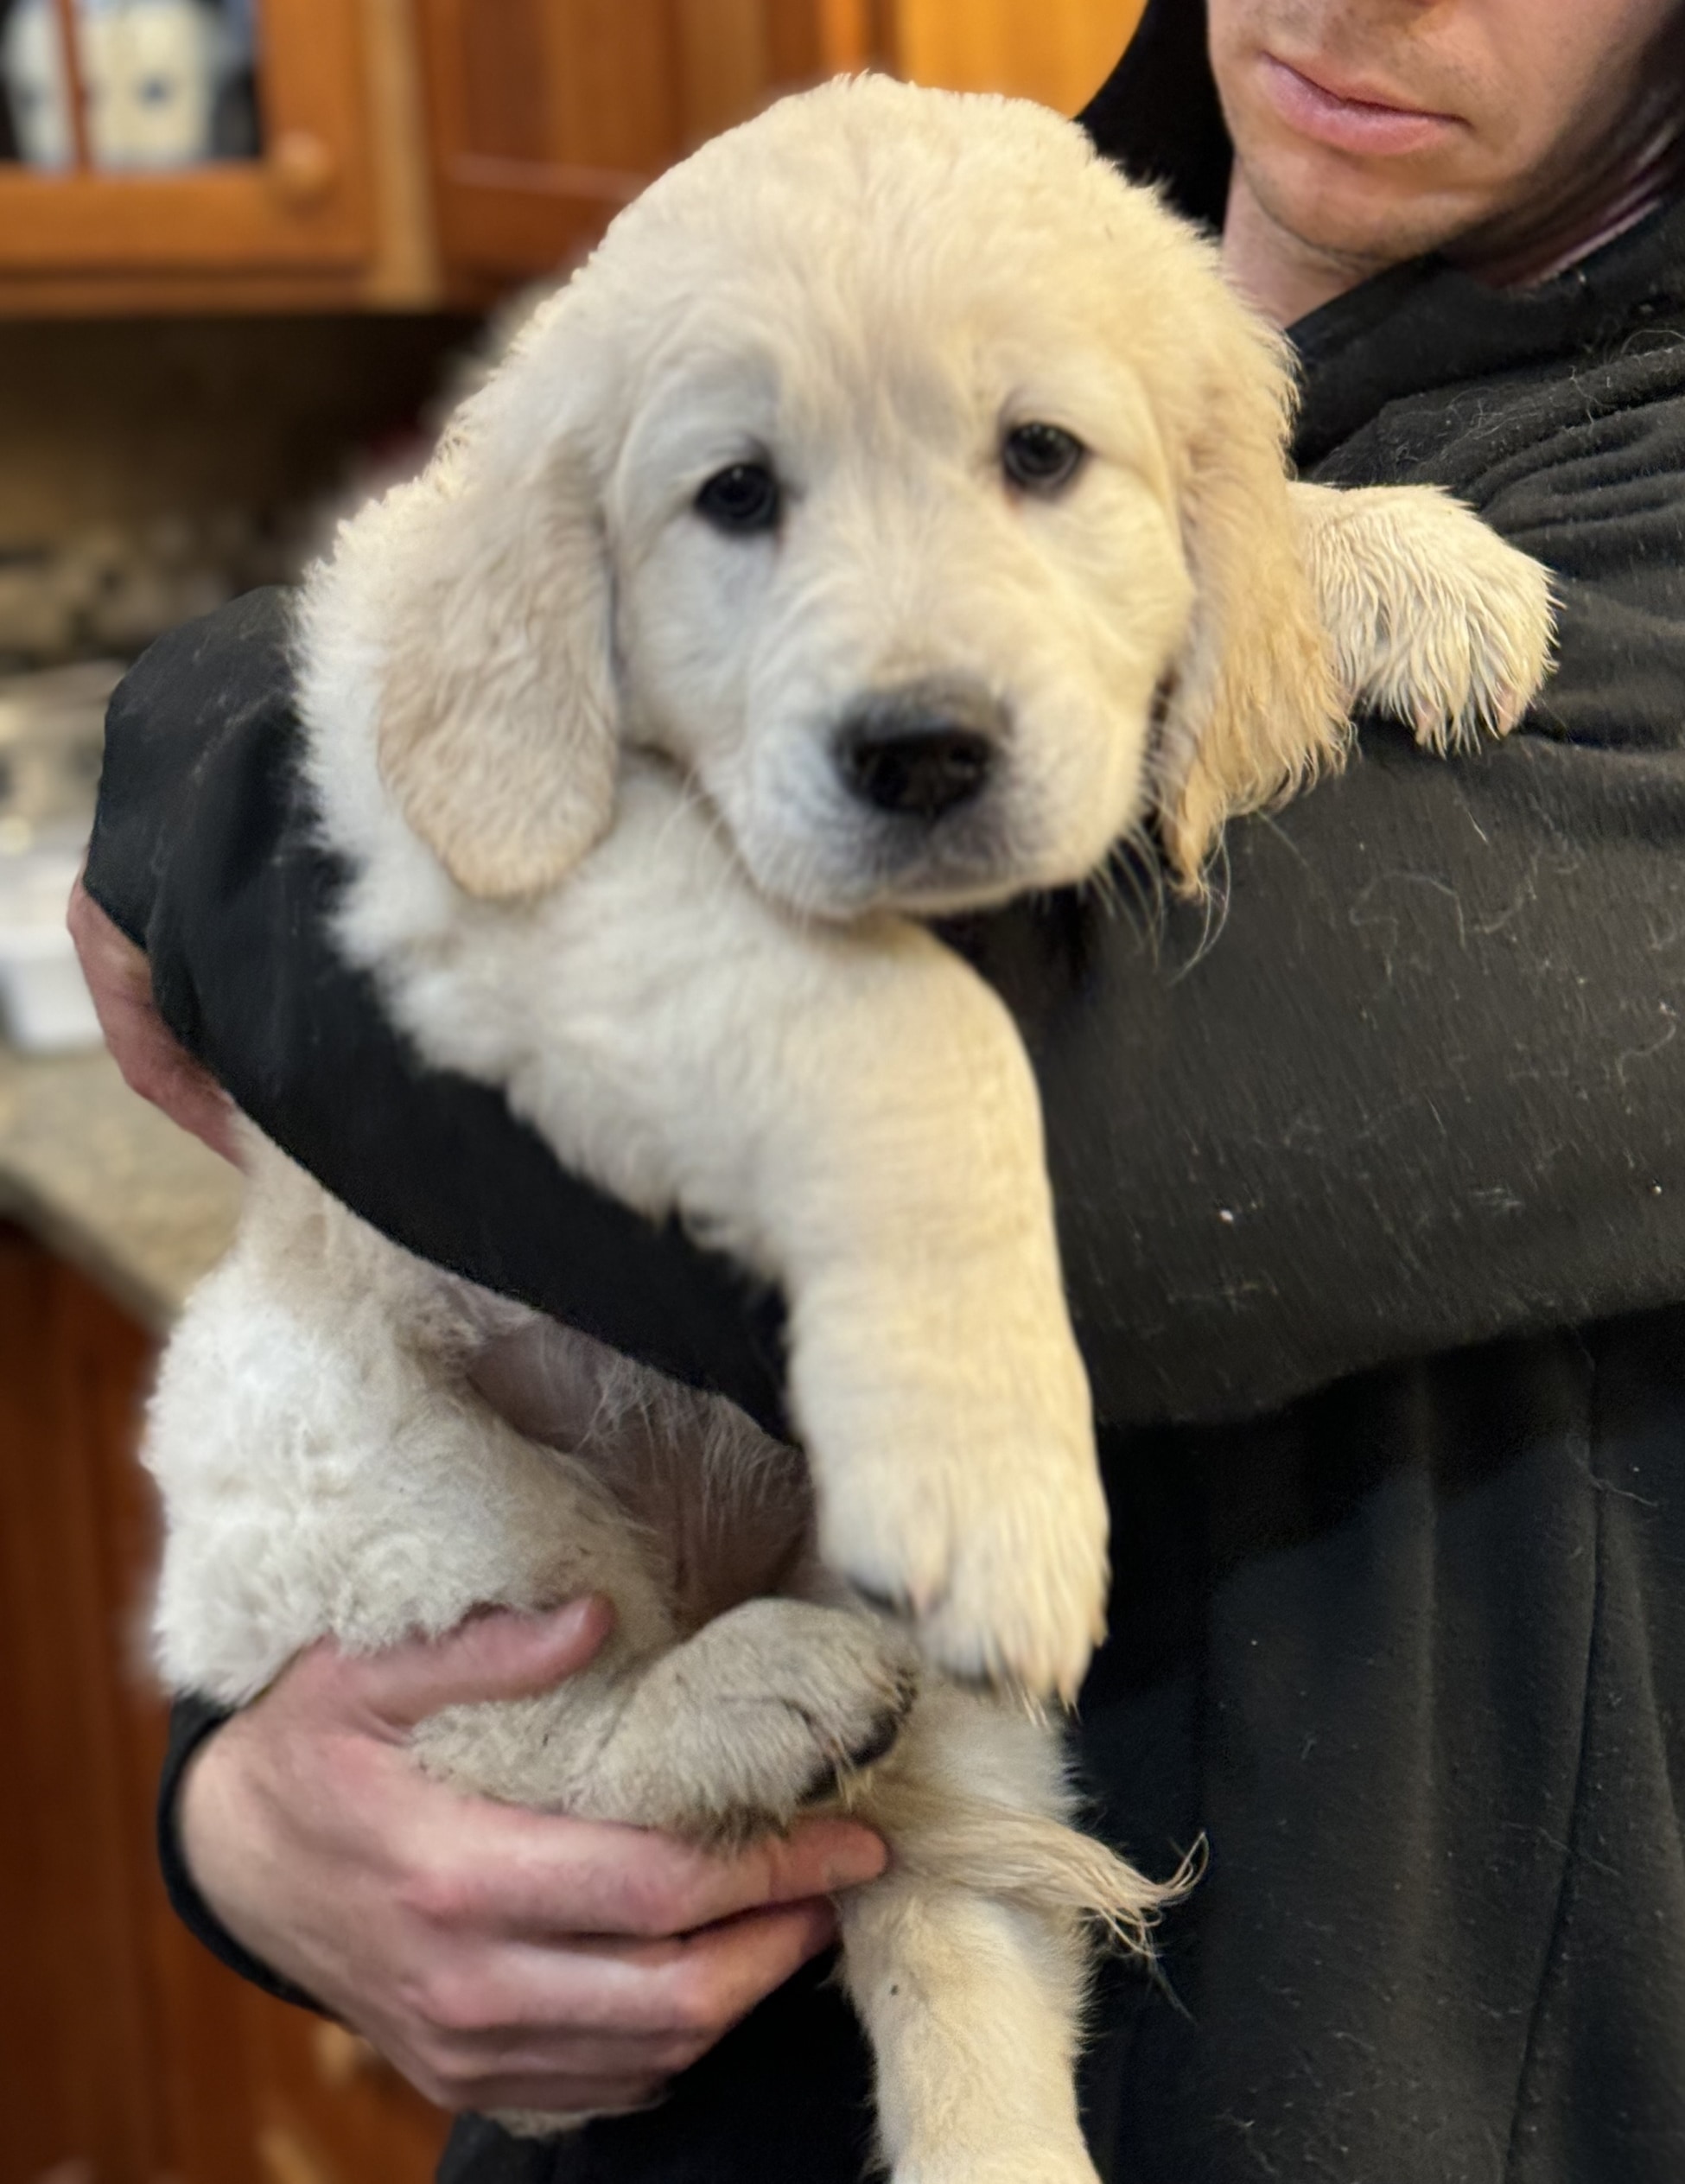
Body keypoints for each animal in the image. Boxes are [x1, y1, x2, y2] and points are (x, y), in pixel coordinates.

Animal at [144, 77, 1554, 2174]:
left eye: (1042, 456)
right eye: (736, 496)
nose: (921, 751)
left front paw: (1392, 561)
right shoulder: (491, 856)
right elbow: (902, 1031)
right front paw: (999, 1467)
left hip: (939, 1683)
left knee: (946, 1935)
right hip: (368, 1458)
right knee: (514, 1752)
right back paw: (740, 1701)